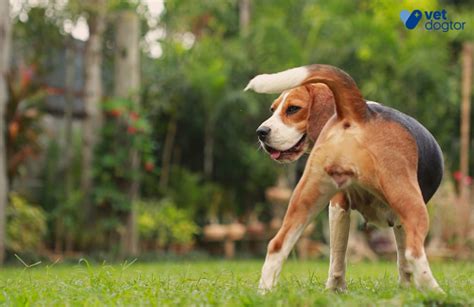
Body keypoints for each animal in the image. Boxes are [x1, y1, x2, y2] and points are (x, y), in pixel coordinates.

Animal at [244, 64, 444, 294]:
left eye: (292, 109)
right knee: (413, 251)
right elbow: (403, 258)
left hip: (307, 197)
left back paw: (265, 292)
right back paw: (435, 290)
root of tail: (359, 111)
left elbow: (338, 257)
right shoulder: (399, 217)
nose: (261, 132)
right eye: (273, 109)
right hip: (410, 200)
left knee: (278, 244)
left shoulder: (339, 204)